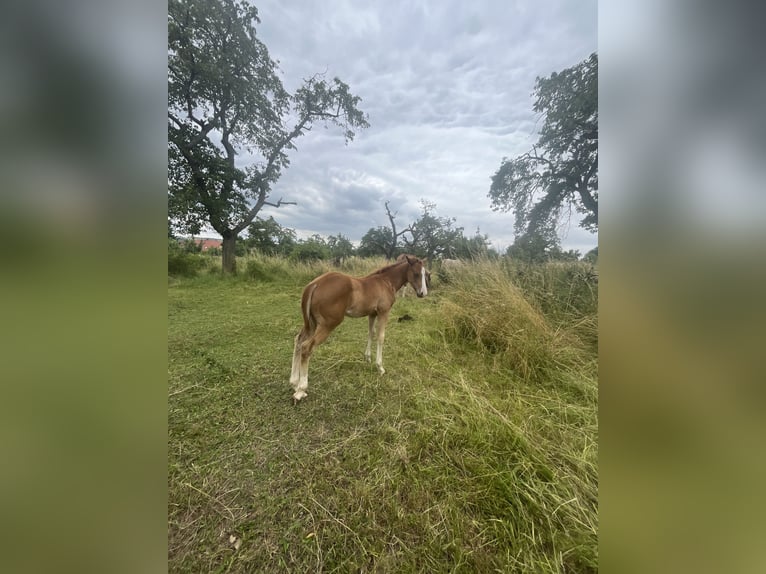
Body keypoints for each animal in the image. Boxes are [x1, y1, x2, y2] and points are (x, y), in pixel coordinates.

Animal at [290, 255, 428, 402]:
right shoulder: (383, 312)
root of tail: (314, 284)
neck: (385, 281)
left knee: (298, 341)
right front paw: (380, 367)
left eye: (425, 273)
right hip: (328, 324)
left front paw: (367, 358)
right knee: (306, 347)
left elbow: (371, 333)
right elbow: (381, 337)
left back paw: (294, 383)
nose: (423, 293)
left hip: (311, 323)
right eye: (416, 274)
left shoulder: (372, 314)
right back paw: (301, 390)